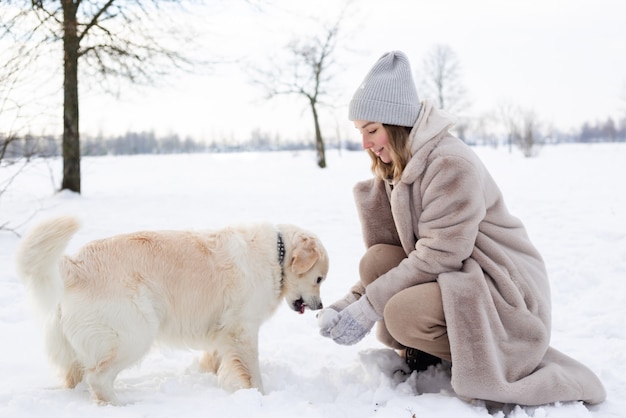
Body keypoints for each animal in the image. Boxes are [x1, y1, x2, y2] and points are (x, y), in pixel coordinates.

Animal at [14, 216, 330, 404]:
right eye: (319, 279)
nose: (320, 306)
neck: (277, 255)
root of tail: (74, 263)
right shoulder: (243, 329)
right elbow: (252, 371)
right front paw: (259, 397)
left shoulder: (224, 329)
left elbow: (217, 358)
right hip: (135, 333)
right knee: (98, 377)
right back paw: (120, 405)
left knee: (76, 376)